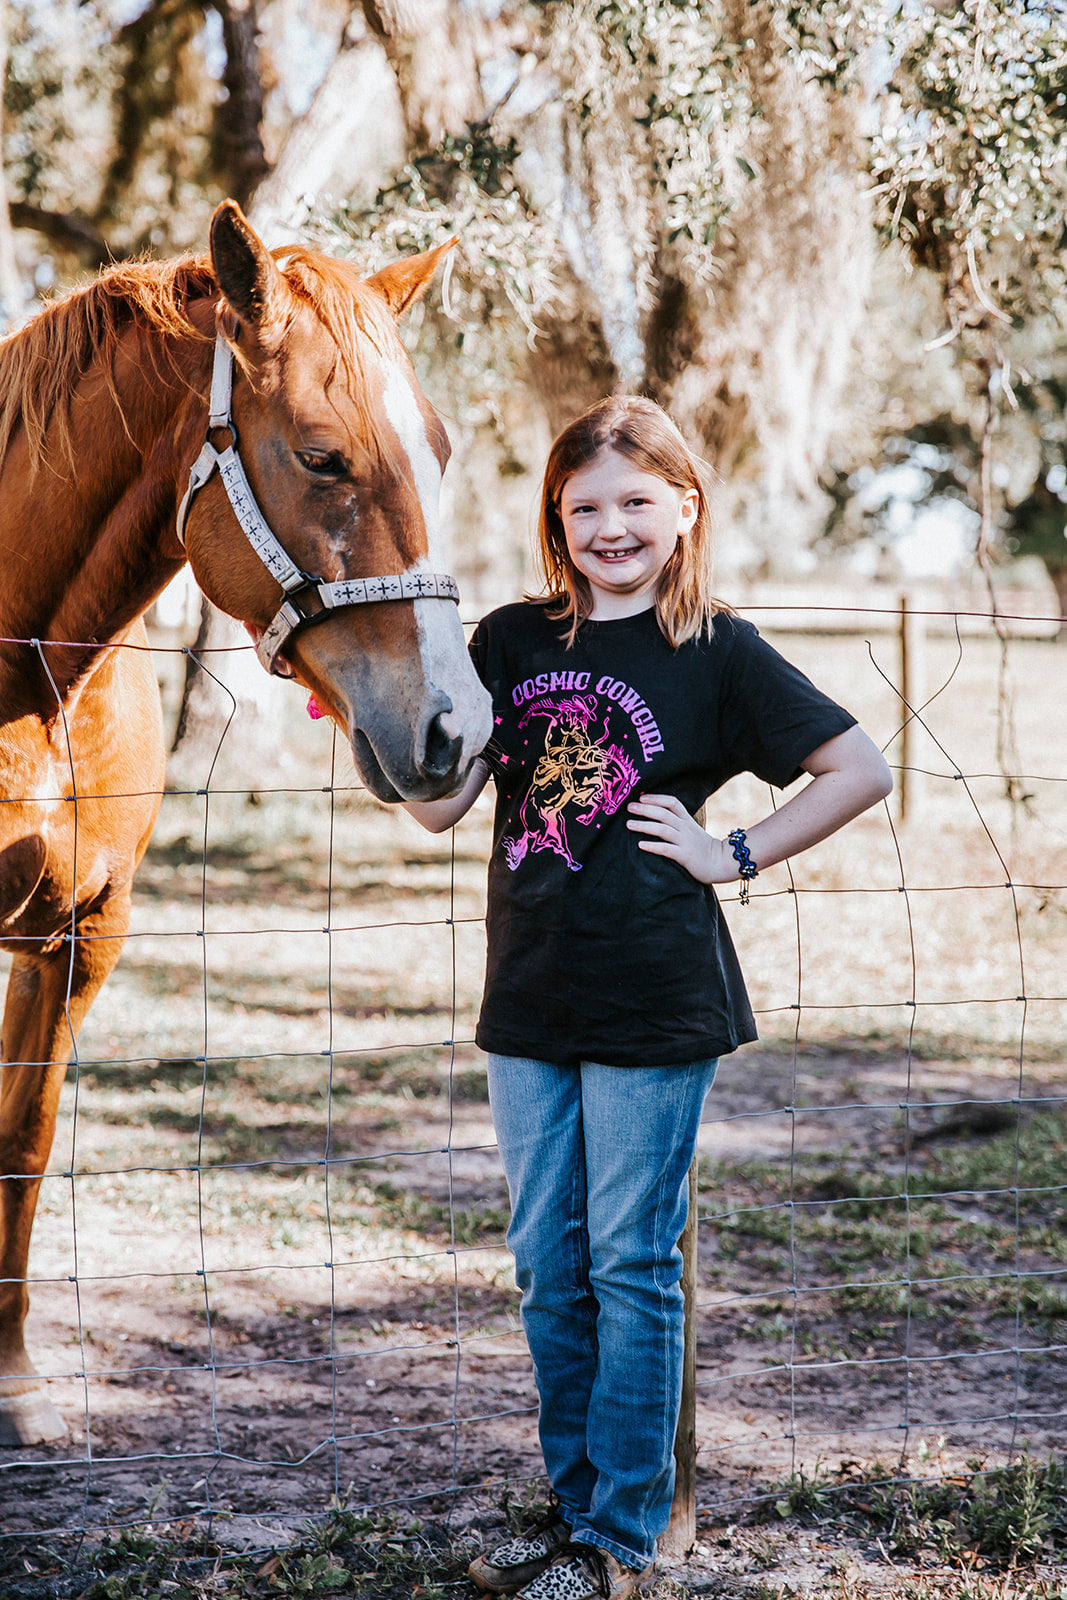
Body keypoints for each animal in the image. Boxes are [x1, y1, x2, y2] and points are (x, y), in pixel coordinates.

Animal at [0, 200, 492, 1452]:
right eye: (321, 457)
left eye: (440, 451)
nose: (452, 728)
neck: (27, 684)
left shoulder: (83, 933)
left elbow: (22, 1143)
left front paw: (15, 1384)